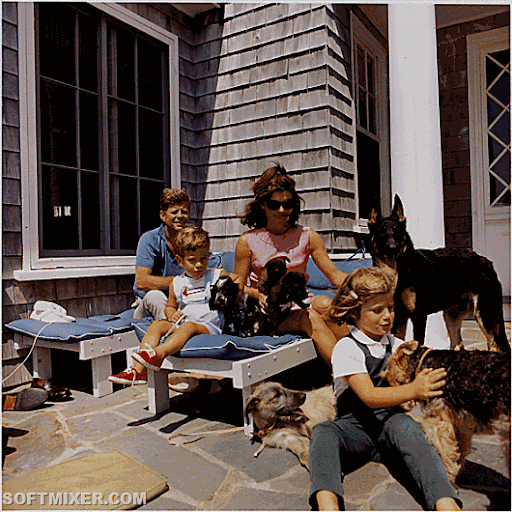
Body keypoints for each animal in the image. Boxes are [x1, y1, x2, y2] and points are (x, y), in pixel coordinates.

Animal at [368, 194, 508, 354]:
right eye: (382, 231)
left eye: (397, 231)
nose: (392, 248)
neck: (400, 272)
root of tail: (486, 261)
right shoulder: (398, 318)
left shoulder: (418, 316)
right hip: (451, 317)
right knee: (458, 345)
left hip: (486, 315)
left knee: (496, 345)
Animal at [382, 342, 510, 486]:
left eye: (387, 377)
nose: (392, 409)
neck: (425, 364)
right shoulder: (461, 424)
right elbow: (458, 451)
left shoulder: (440, 423)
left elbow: (445, 454)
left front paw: (449, 480)